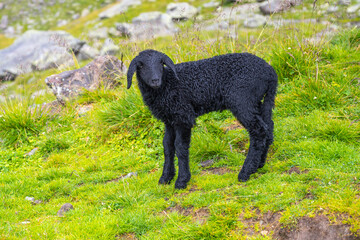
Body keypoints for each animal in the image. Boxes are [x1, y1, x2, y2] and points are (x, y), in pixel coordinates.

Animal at [127, 49, 278, 189]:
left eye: (161, 63)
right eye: (140, 65)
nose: (155, 80)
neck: (167, 85)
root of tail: (270, 72)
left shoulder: (183, 116)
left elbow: (180, 147)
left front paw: (182, 180)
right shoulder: (169, 120)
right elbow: (167, 147)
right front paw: (165, 178)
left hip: (242, 100)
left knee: (259, 131)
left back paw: (246, 172)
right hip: (257, 101)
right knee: (268, 128)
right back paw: (259, 164)